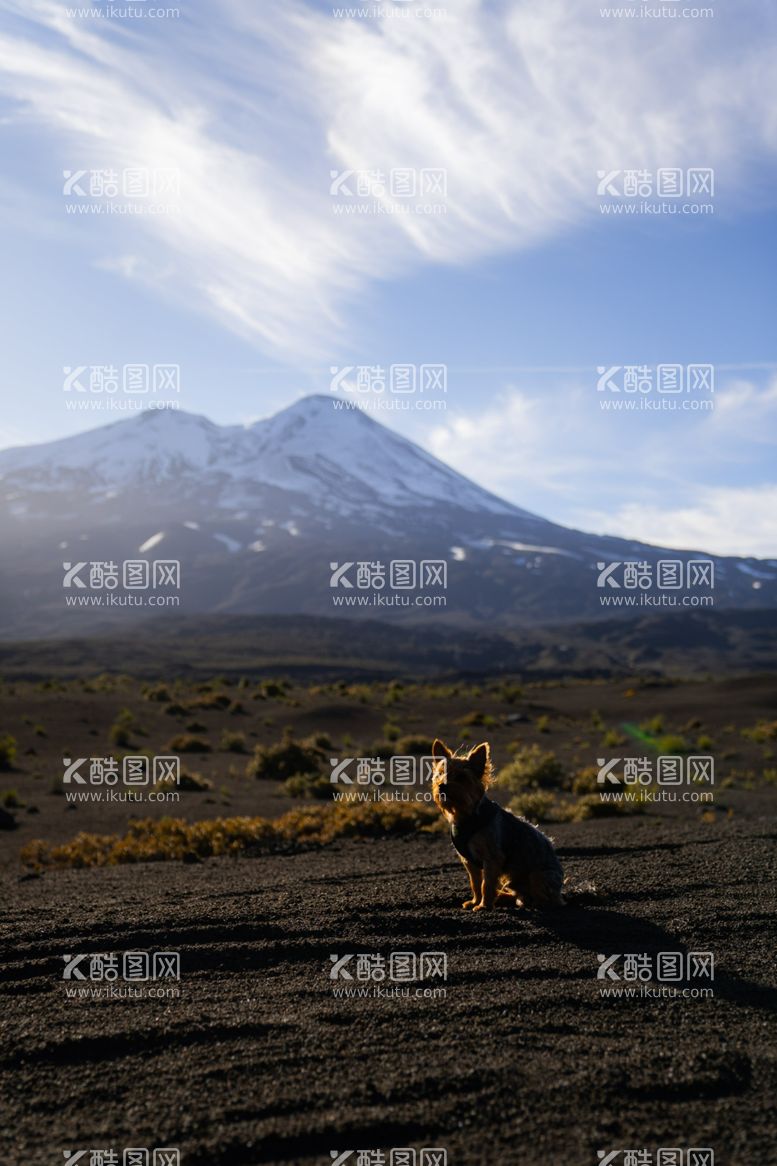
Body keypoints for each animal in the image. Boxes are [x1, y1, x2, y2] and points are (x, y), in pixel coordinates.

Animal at [429, 736, 562, 909]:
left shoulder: (492, 859)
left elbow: (486, 884)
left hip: (539, 876)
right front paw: (475, 901)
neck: (467, 816)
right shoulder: (469, 862)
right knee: (520, 894)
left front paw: (483, 906)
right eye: (439, 774)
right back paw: (505, 896)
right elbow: (475, 884)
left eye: (461, 777)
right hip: (512, 880)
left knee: (545, 899)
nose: (441, 786)